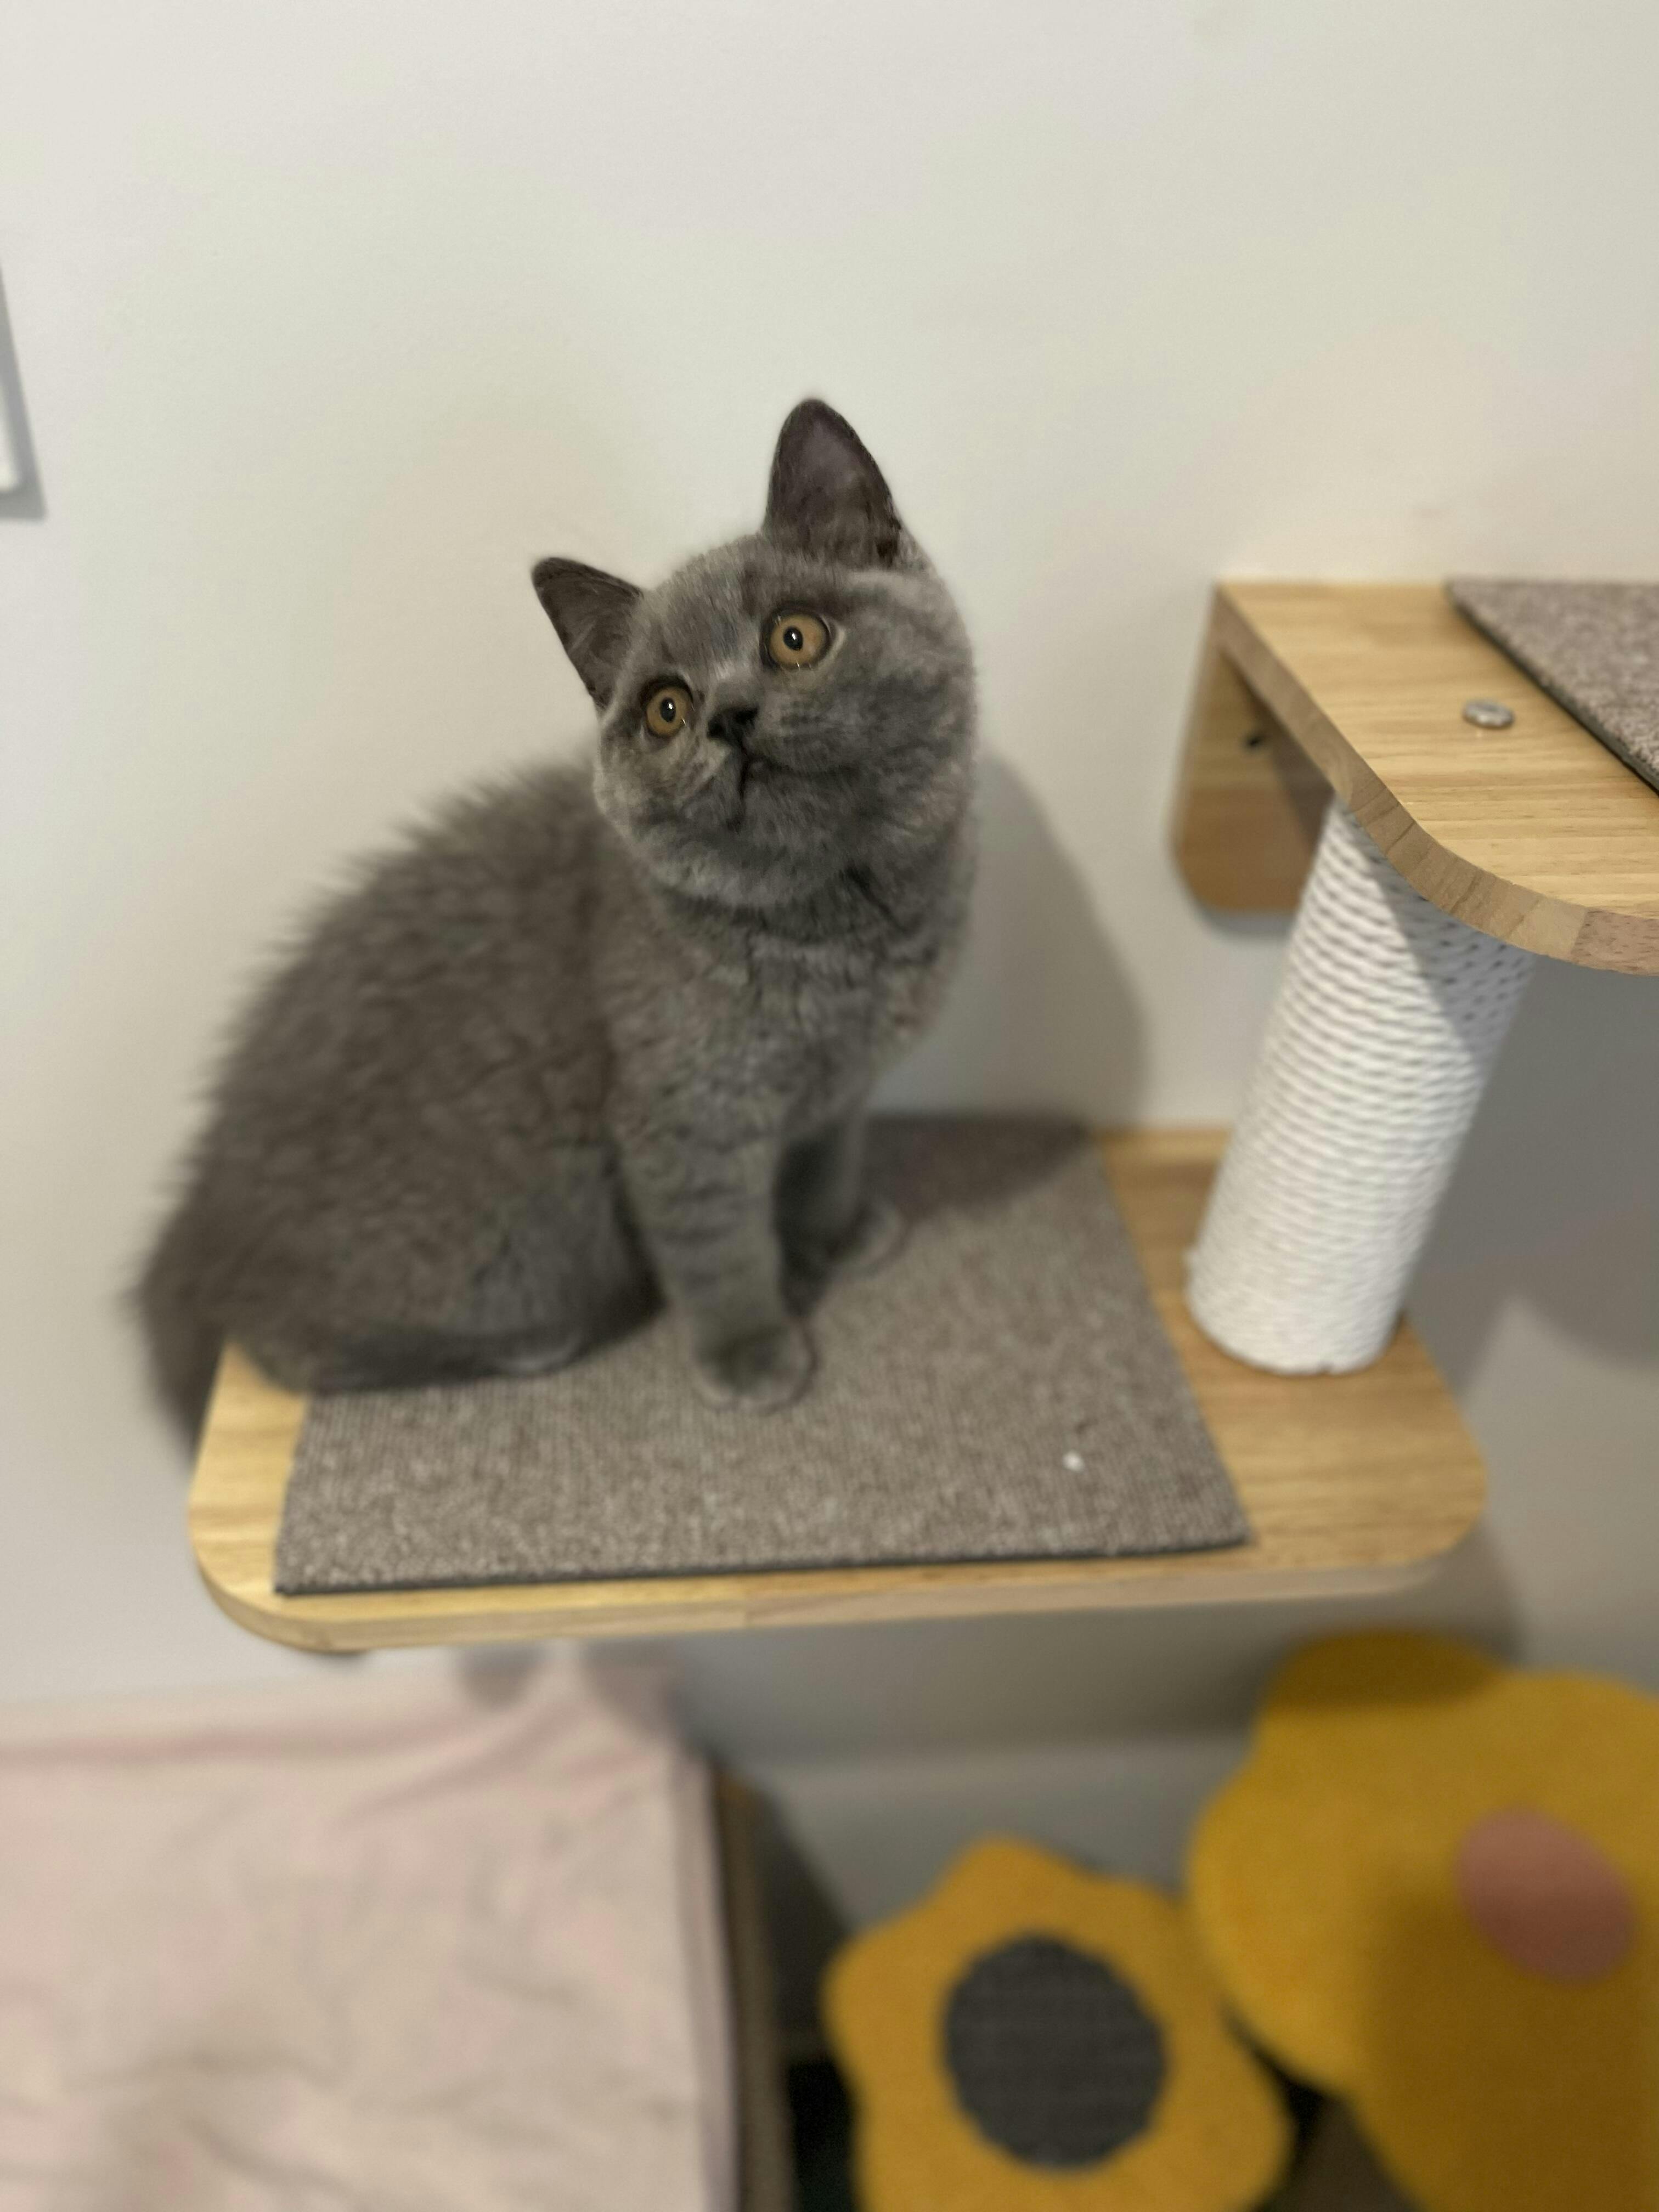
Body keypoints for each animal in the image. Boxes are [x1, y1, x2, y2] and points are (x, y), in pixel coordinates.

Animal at [137, 400, 977, 1435]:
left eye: (794, 637)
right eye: (666, 708)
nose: (729, 717)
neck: (836, 926)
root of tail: (196, 1217)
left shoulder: (840, 1094)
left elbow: (826, 1164)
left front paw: (836, 1233)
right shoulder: (683, 1119)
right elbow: (720, 1249)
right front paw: (750, 1352)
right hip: (503, 1249)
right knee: (289, 1347)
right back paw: (534, 1344)